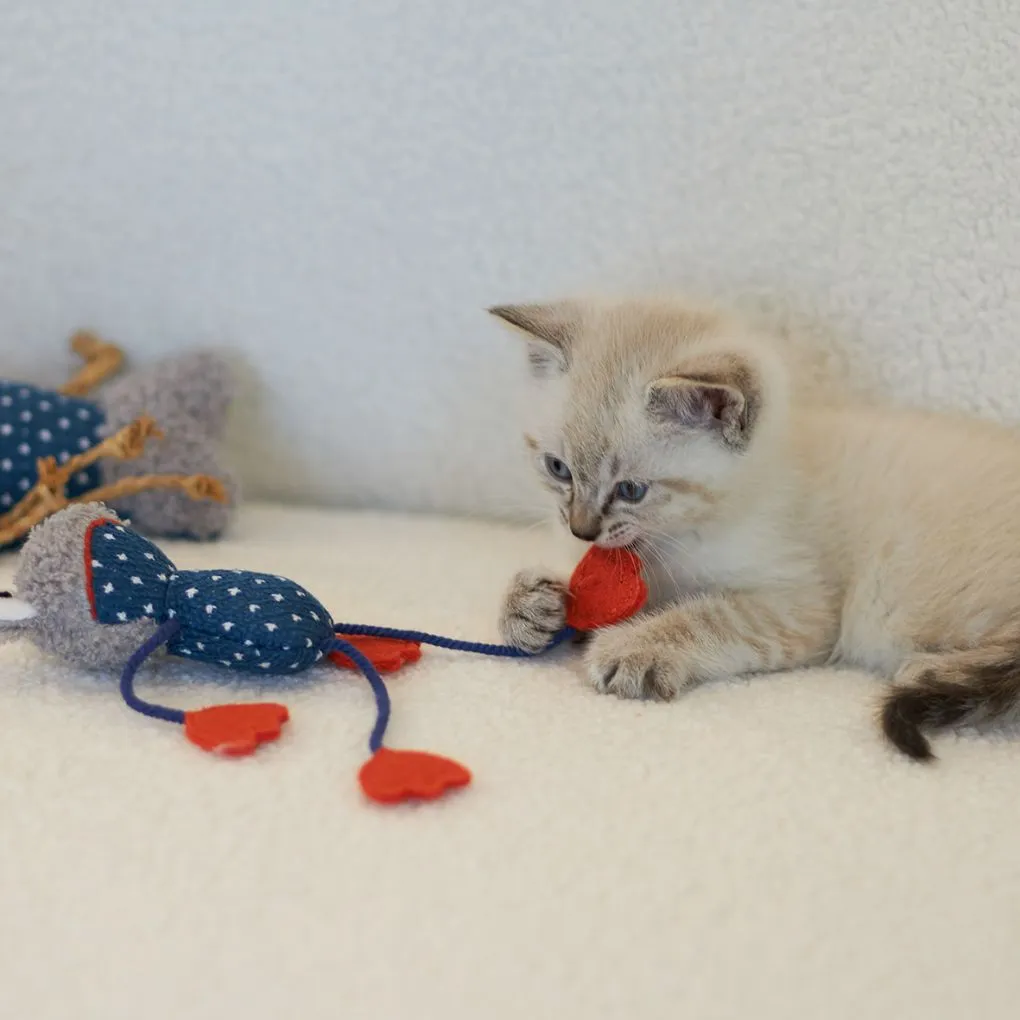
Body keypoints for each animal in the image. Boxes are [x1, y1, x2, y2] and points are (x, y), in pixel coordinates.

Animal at [491, 295, 1020, 758]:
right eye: (558, 469)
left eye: (631, 490)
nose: (581, 530)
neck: (676, 537)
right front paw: (532, 607)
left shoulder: (802, 605)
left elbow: (706, 615)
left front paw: (633, 646)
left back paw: (930, 672)